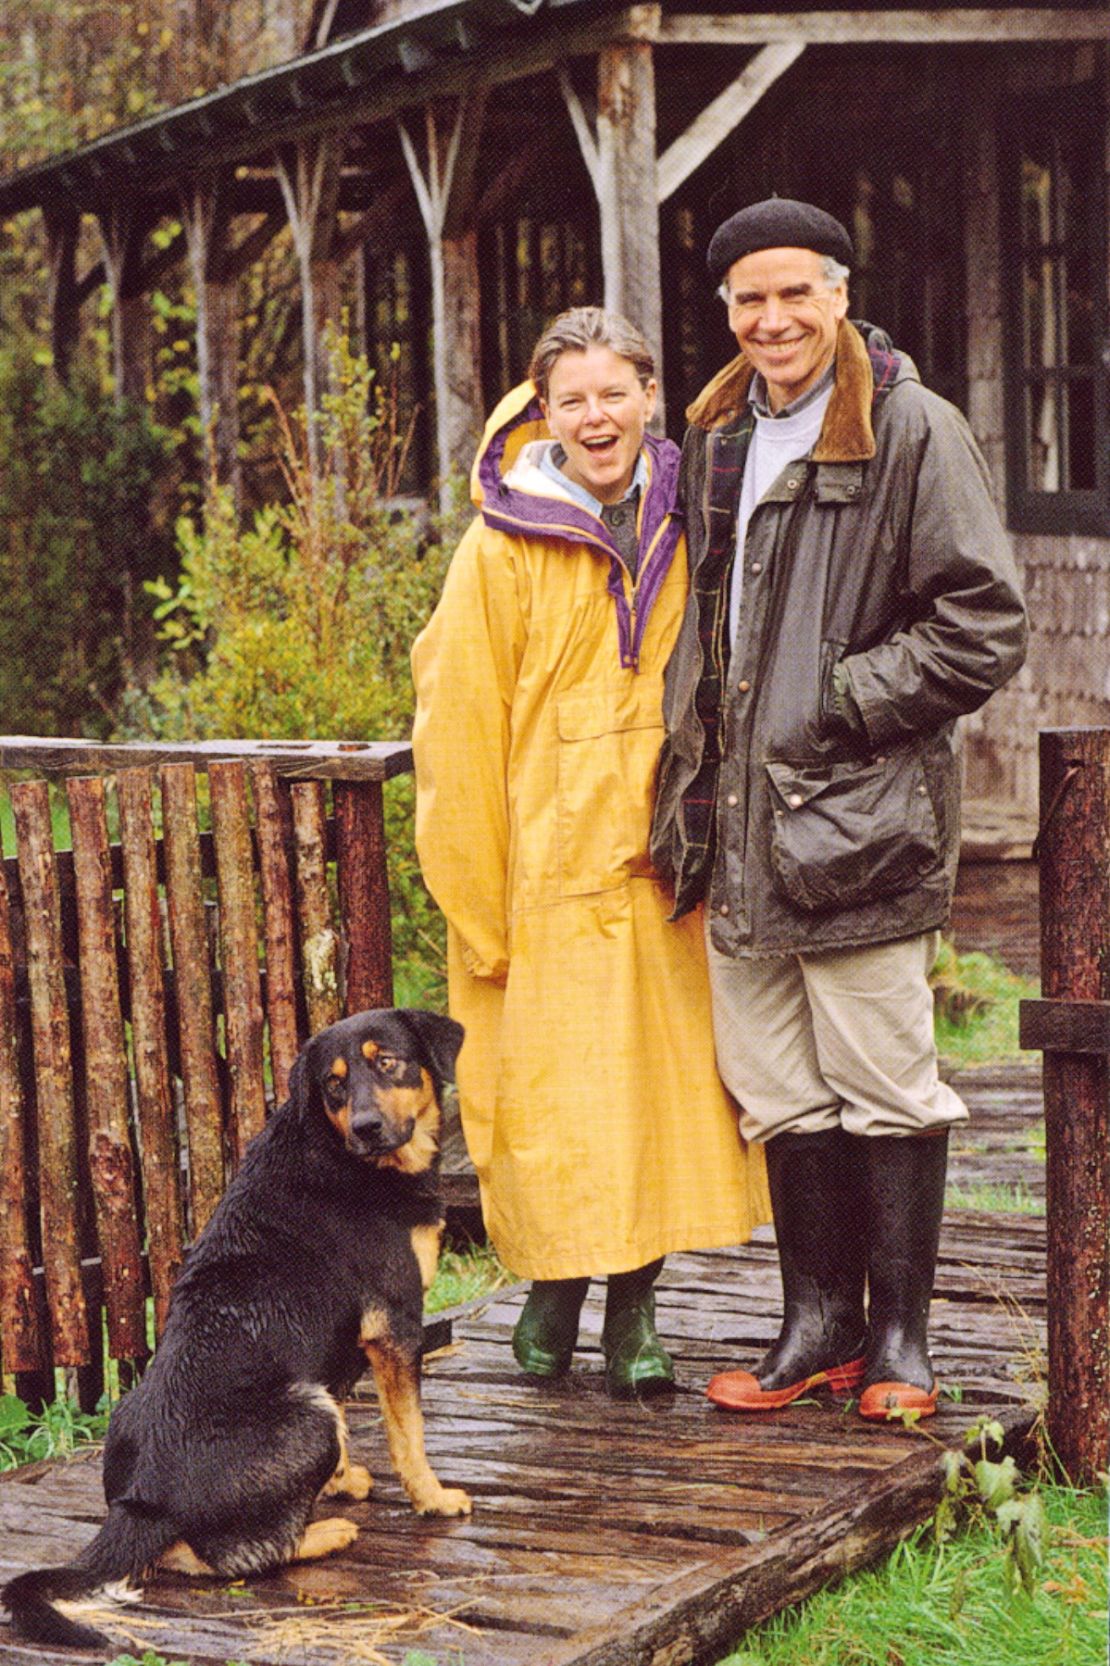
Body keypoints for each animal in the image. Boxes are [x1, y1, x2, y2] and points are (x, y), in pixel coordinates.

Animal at [2, 999, 466, 1652]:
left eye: (388, 1063)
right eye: (334, 1084)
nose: (367, 1128)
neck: (338, 1151)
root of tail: (146, 1501)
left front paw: (340, 1481)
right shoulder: (395, 1327)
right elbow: (410, 1433)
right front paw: (433, 1498)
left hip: (145, 1407)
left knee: (179, 1553)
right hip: (308, 1414)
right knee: (240, 1556)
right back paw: (328, 1532)